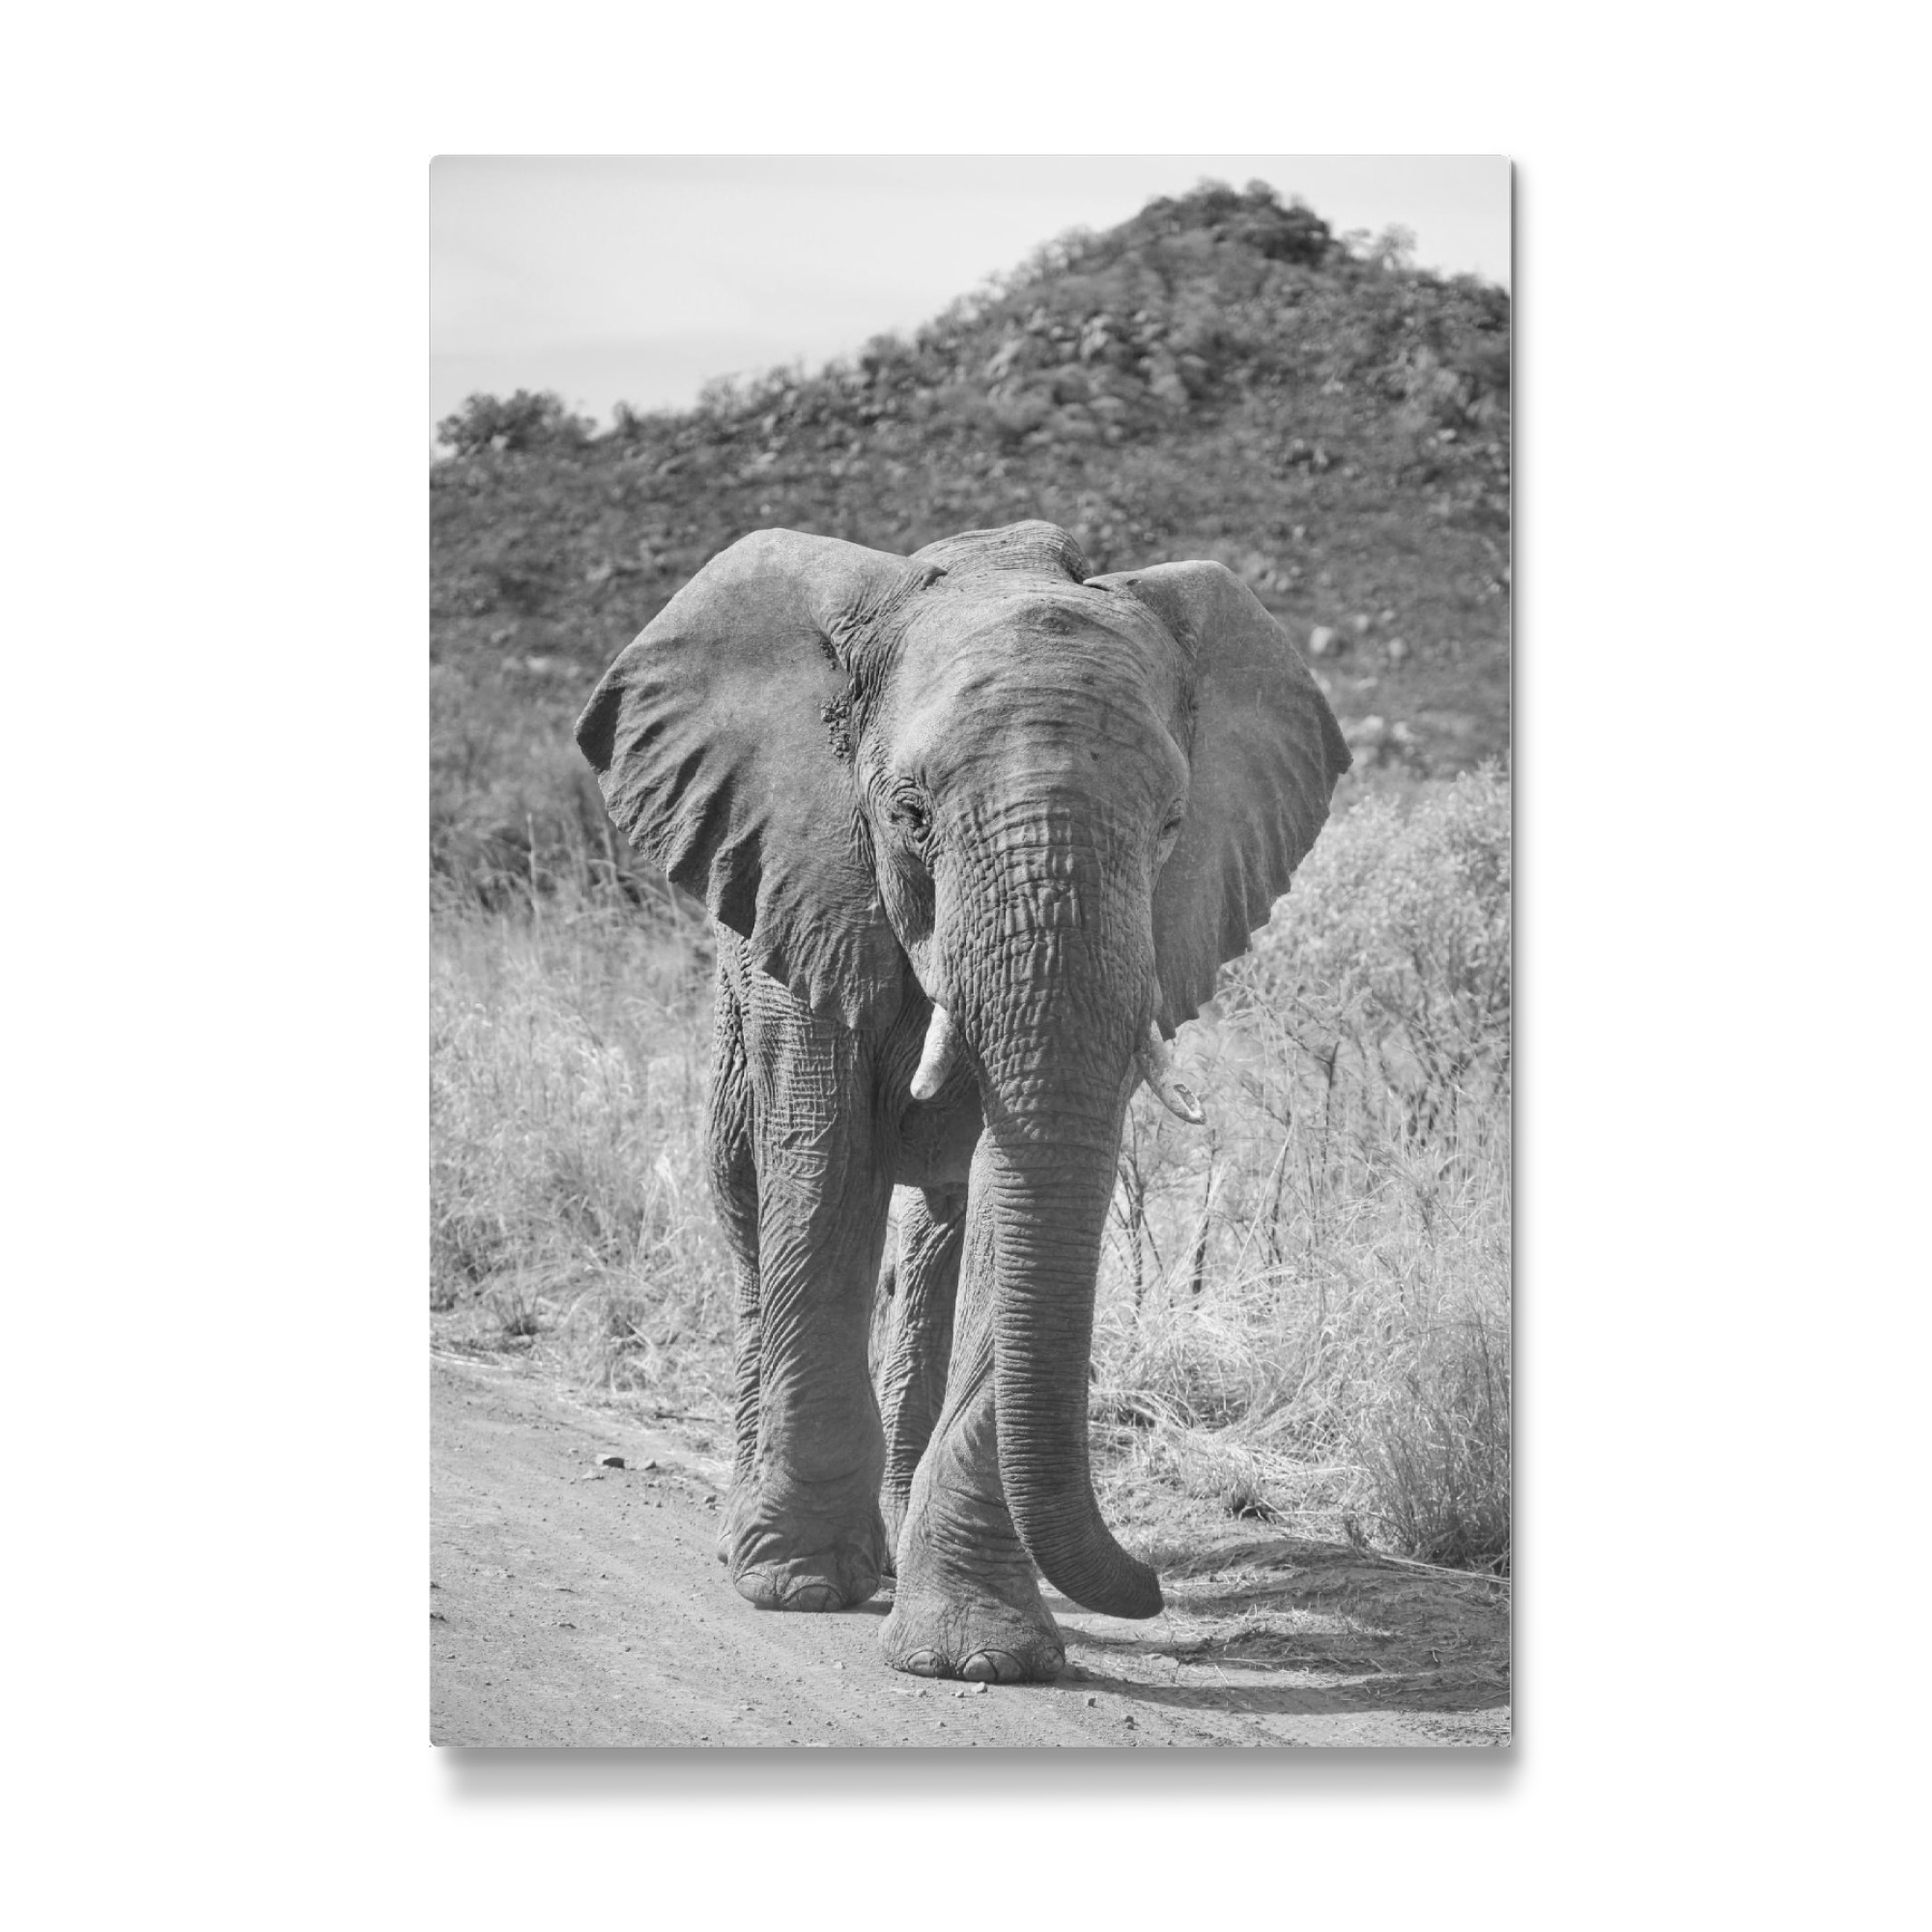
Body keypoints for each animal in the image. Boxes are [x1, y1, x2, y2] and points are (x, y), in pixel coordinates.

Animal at [575, 519, 1350, 1681]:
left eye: (1173, 825)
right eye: (908, 814)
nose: (1151, 1590)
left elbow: (1012, 1195)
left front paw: (977, 1656)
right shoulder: (808, 886)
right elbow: (820, 1166)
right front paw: (801, 1588)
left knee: (935, 1232)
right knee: (747, 1200)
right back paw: (753, 1541)